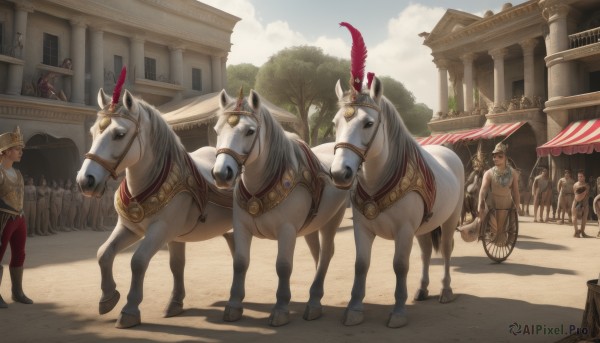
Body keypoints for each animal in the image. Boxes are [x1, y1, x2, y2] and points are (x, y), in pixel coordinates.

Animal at [75, 87, 234, 330]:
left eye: (119, 134)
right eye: (93, 131)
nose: (86, 181)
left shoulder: (162, 229)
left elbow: (138, 261)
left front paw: (130, 310)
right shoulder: (131, 228)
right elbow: (104, 253)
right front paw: (108, 298)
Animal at [213, 89, 350, 328]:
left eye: (250, 131)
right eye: (217, 130)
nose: (222, 173)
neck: (262, 186)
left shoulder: (287, 230)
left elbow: (283, 266)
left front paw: (281, 309)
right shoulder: (241, 227)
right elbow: (240, 263)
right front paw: (234, 305)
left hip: (333, 218)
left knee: (326, 253)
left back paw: (314, 303)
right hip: (311, 225)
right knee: (318, 253)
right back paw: (316, 295)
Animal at [328, 76, 464, 330]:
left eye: (368, 123)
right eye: (335, 123)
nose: (340, 173)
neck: (378, 181)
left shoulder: (404, 230)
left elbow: (400, 265)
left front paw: (399, 311)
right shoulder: (362, 228)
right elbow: (361, 264)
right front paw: (354, 309)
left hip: (450, 219)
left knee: (446, 250)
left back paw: (446, 290)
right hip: (424, 227)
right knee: (426, 253)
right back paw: (422, 289)